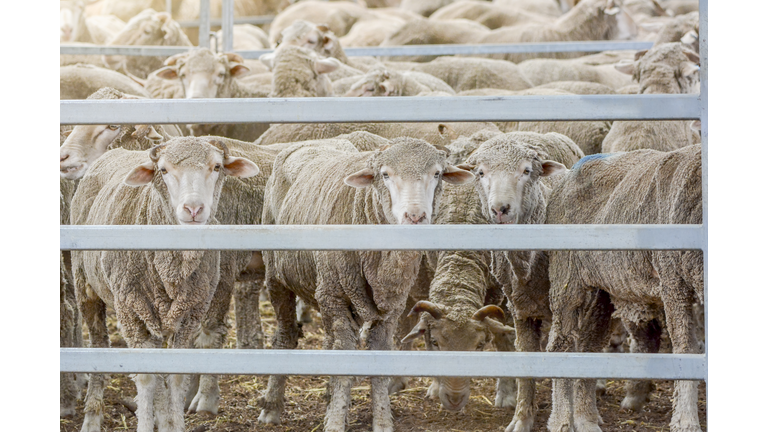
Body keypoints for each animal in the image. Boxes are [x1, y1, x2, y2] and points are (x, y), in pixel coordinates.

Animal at [71, 138, 260, 432]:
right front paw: (146, 424)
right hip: (86, 287)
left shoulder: (190, 314)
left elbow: (175, 376)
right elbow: (147, 378)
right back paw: (92, 417)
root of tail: (116, 151)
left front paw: (174, 423)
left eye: (217, 167)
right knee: (99, 342)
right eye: (163, 170)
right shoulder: (130, 312)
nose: (193, 209)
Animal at [258, 138, 474, 428]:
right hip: (277, 277)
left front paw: (381, 421)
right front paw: (335, 423)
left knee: (330, 341)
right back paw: (271, 407)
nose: (415, 217)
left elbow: (375, 356)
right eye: (385, 175)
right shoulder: (334, 297)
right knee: (286, 334)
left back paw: (330, 398)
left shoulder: (391, 307)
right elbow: (343, 356)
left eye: (437, 173)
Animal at [452, 132, 584, 432]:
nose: (500, 209)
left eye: (526, 171)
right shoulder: (520, 310)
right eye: (480, 173)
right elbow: (525, 360)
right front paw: (522, 418)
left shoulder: (564, 309)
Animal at [544, 144, 704, 432]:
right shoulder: (673, 282)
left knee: (588, 347)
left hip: (602, 292)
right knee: (559, 344)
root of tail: (568, 174)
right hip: (567, 279)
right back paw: (561, 419)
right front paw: (685, 421)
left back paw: (585, 419)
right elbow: (687, 348)